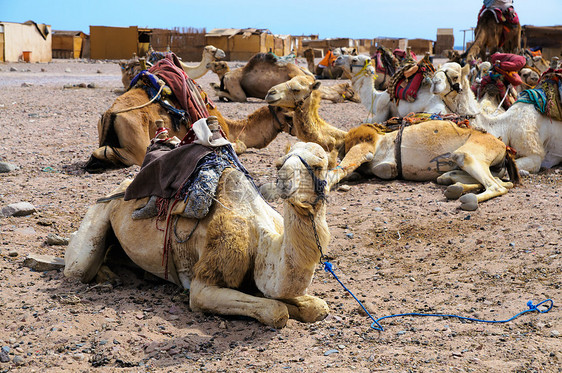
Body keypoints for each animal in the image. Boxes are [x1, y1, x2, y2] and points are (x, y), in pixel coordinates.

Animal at [65, 141, 330, 326]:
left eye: (319, 166)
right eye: (278, 164)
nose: (284, 181)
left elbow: (318, 307)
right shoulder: (203, 285)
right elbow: (276, 311)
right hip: (99, 211)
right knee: (77, 268)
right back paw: (108, 277)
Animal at [264, 74, 520, 211]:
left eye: (296, 87)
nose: (270, 93)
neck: (341, 139)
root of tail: (503, 146)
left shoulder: (364, 146)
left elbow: (333, 175)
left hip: (469, 153)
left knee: (497, 186)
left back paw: (466, 199)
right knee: (499, 182)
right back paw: (453, 186)